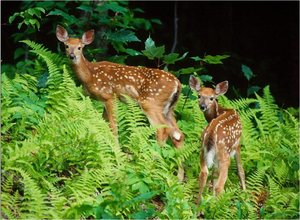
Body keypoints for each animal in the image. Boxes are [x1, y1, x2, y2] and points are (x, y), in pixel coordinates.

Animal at [55, 24, 184, 148]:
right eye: (66, 46)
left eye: (79, 47)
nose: (72, 56)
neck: (90, 75)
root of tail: (177, 83)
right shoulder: (104, 99)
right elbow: (104, 124)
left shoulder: (109, 96)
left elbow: (113, 126)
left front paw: (116, 148)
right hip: (168, 108)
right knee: (178, 134)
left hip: (151, 102)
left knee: (163, 130)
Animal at [190, 75, 246, 205]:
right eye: (199, 95)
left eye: (211, 98)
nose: (202, 106)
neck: (220, 111)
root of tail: (211, 133)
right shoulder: (237, 144)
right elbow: (241, 170)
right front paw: (246, 195)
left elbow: (214, 175)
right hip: (225, 153)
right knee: (220, 185)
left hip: (203, 150)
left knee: (204, 174)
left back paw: (198, 206)